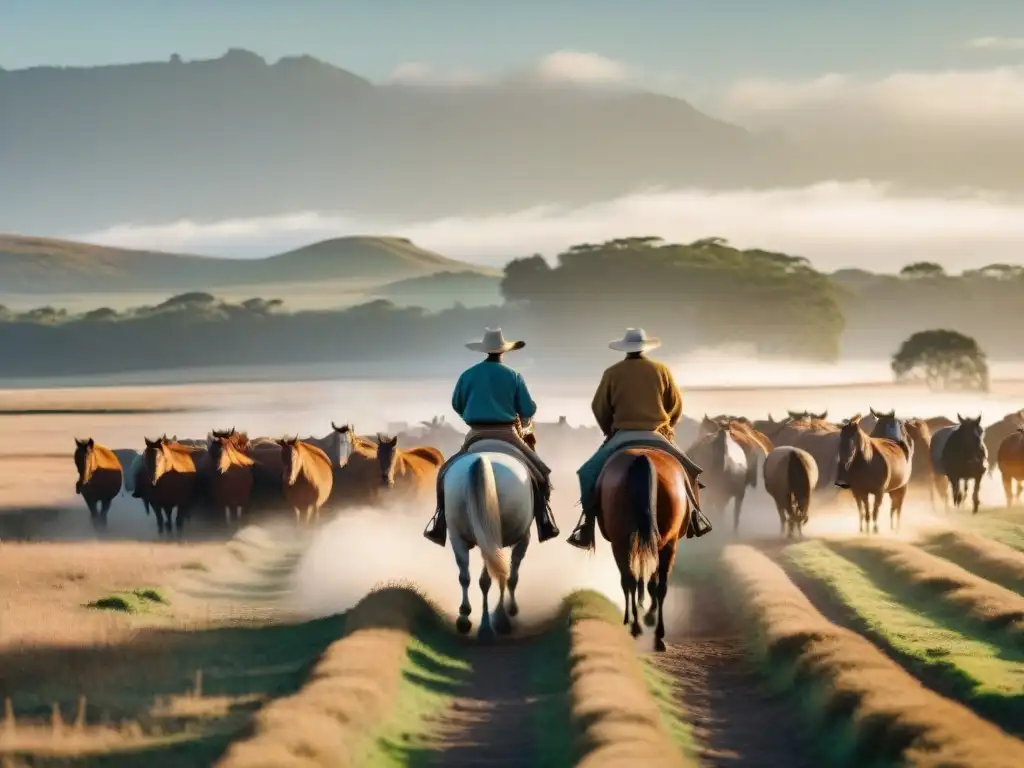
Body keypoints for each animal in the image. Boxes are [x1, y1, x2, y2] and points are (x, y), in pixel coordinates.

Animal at [598, 448, 700, 651]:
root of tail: (644, 459)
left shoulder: (621, 544)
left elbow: (630, 581)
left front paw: (633, 617)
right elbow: (651, 582)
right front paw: (647, 614)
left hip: (622, 543)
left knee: (630, 580)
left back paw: (636, 626)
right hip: (667, 543)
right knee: (660, 586)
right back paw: (658, 635)